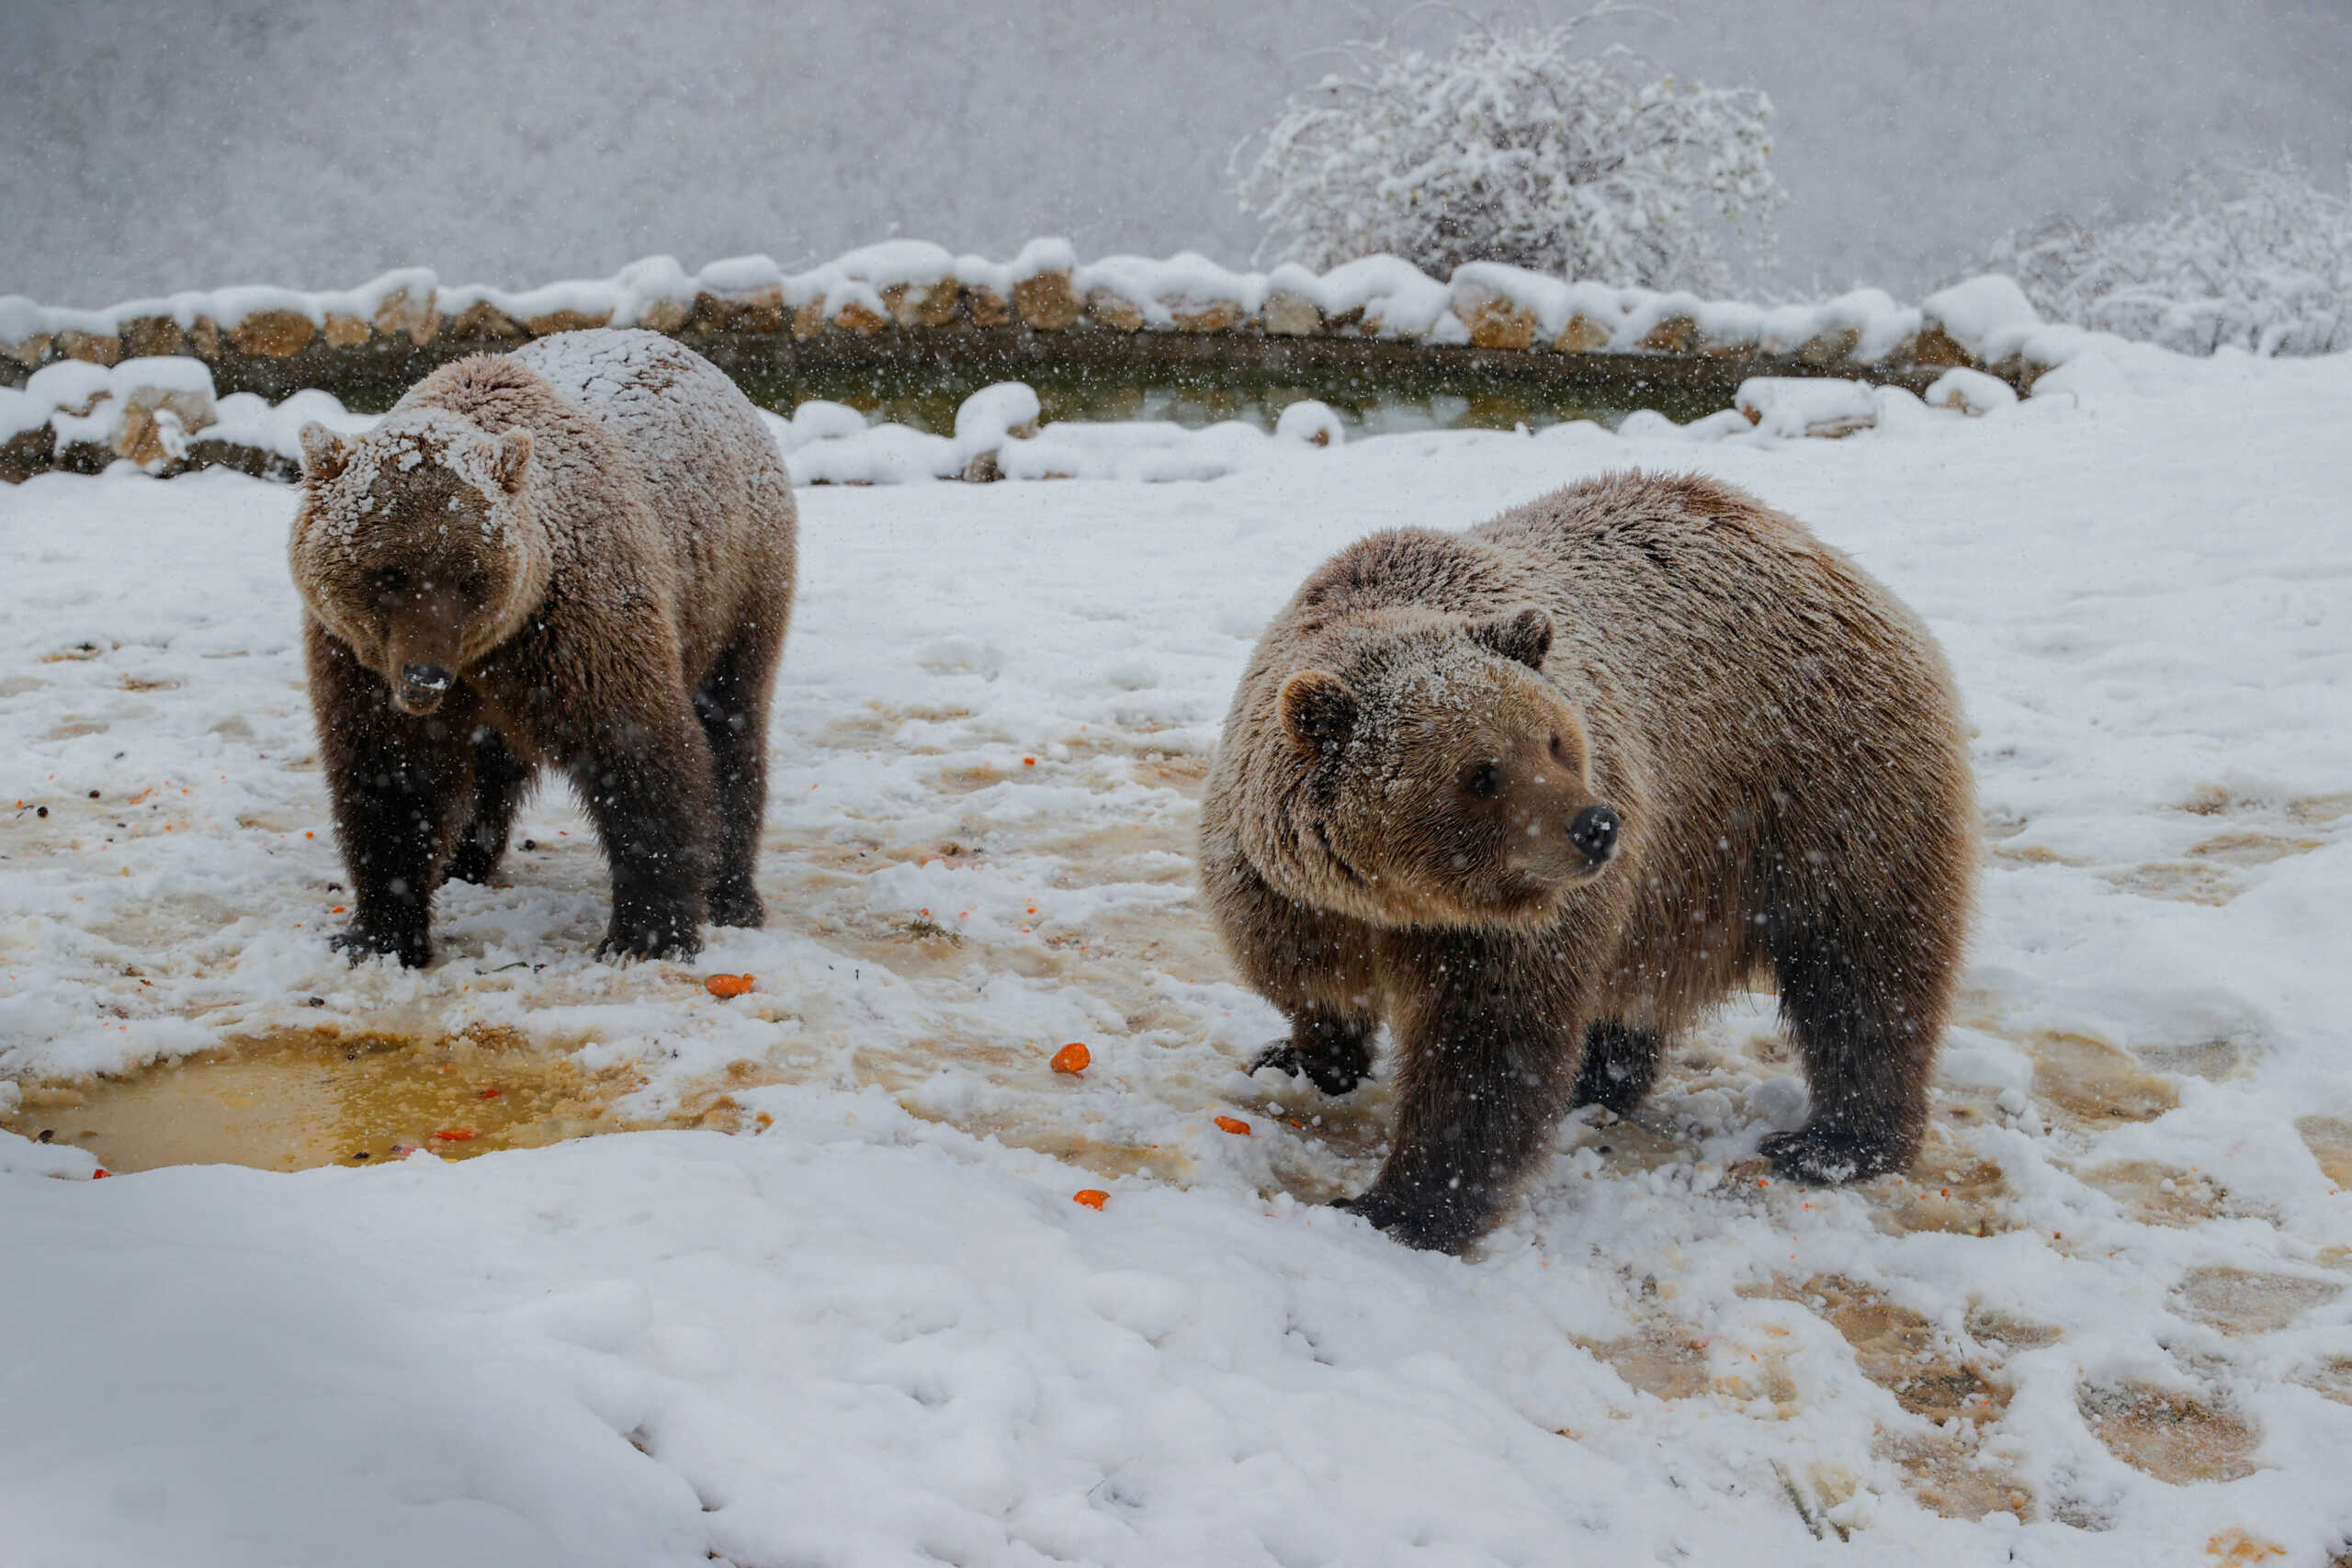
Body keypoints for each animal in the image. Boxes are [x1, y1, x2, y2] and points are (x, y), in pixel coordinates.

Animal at [282, 329, 799, 968]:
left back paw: (733, 894)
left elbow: (641, 753)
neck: (487, 652)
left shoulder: (578, 632)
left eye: (469, 575)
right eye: (387, 573)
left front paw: (646, 934)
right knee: (490, 766)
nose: (425, 677)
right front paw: (380, 935)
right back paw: (464, 862)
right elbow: (388, 780)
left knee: (732, 726)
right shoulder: (357, 661)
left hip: (736, 587)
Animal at [1204, 472, 1975, 1259]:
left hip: (1816, 791)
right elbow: (1306, 982)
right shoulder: (1286, 895)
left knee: (1862, 971)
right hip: (1678, 871)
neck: (1396, 900)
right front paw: (1301, 1056)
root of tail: (1832, 558)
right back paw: (1603, 1077)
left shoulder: (1504, 928)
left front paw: (1399, 1206)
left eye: (1554, 738)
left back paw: (1835, 1142)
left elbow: (1487, 1051)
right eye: (1480, 772)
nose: (1597, 825)